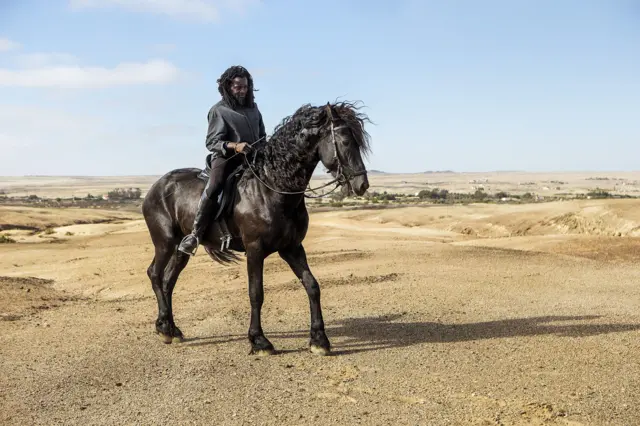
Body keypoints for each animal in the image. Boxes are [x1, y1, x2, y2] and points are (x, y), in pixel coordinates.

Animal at [140, 100, 370, 356]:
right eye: (346, 141)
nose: (362, 185)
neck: (273, 188)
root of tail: (157, 186)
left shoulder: (292, 248)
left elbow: (312, 285)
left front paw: (319, 340)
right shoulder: (255, 249)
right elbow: (256, 293)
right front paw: (259, 341)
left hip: (182, 248)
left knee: (169, 280)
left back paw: (172, 329)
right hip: (165, 242)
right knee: (155, 274)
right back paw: (164, 328)